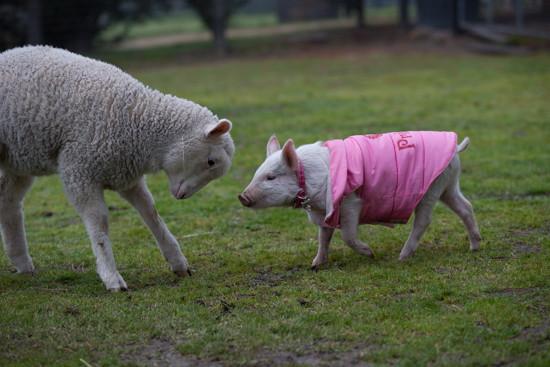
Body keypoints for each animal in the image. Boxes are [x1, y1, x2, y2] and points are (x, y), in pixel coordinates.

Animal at [0, 46, 235, 292]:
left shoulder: (125, 175)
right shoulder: (79, 171)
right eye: (210, 162)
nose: (182, 196)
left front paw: (178, 262)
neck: (138, 124)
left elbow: (151, 212)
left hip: (18, 161)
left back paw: (22, 263)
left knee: (8, 202)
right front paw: (111, 276)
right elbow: (100, 221)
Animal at [239, 133, 480, 270]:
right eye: (257, 173)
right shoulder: (325, 211)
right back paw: (474, 247)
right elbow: (323, 237)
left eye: (271, 177)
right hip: (448, 185)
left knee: (424, 221)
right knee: (465, 207)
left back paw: (402, 257)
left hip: (430, 189)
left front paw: (370, 254)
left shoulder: (350, 202)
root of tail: (456, 148)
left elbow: (347, 235)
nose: (242, 196)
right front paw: (315, 265)